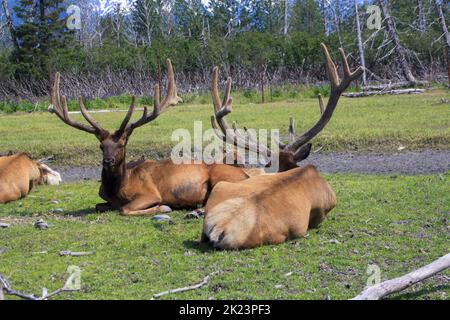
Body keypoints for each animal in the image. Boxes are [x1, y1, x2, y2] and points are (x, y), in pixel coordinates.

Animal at [49, 58, 260, 216]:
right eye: (101, 146)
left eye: (122, 144)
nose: (108, 161)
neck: (118, 189)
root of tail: (245, 175)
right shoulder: (105, 200)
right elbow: (98, 206)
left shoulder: (149, 194)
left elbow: (125, 209)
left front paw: (163, 207)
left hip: (221, 178)